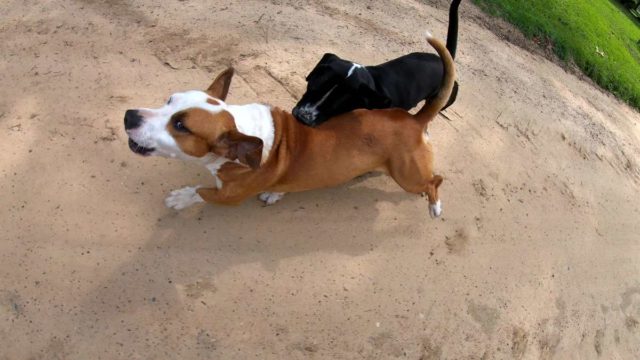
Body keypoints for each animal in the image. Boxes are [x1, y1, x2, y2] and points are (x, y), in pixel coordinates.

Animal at [124, 35, 456, 218]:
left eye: (181, 125)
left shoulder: (228, 197)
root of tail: (414, 118)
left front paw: (181, 198)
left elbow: (201, 192)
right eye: (169, 100)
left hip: (408, 176)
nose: (129, 116)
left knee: (434, 180)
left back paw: (435, 206)